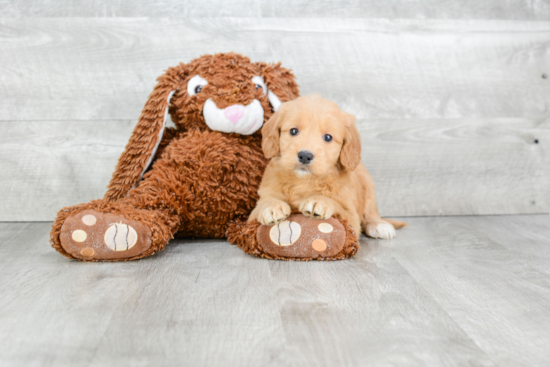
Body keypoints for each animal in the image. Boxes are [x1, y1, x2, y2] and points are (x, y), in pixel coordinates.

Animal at [250, 93, 406, 240]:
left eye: (328, 137)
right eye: (293, 131)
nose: (305, 156)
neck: (304, 181)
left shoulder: (351, 218)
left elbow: (337, 205)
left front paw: (319, 200)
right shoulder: (252, 213)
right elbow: (264, 203)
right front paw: (271, 207)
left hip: (368, 184)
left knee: (370, 211)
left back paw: (379, 225)